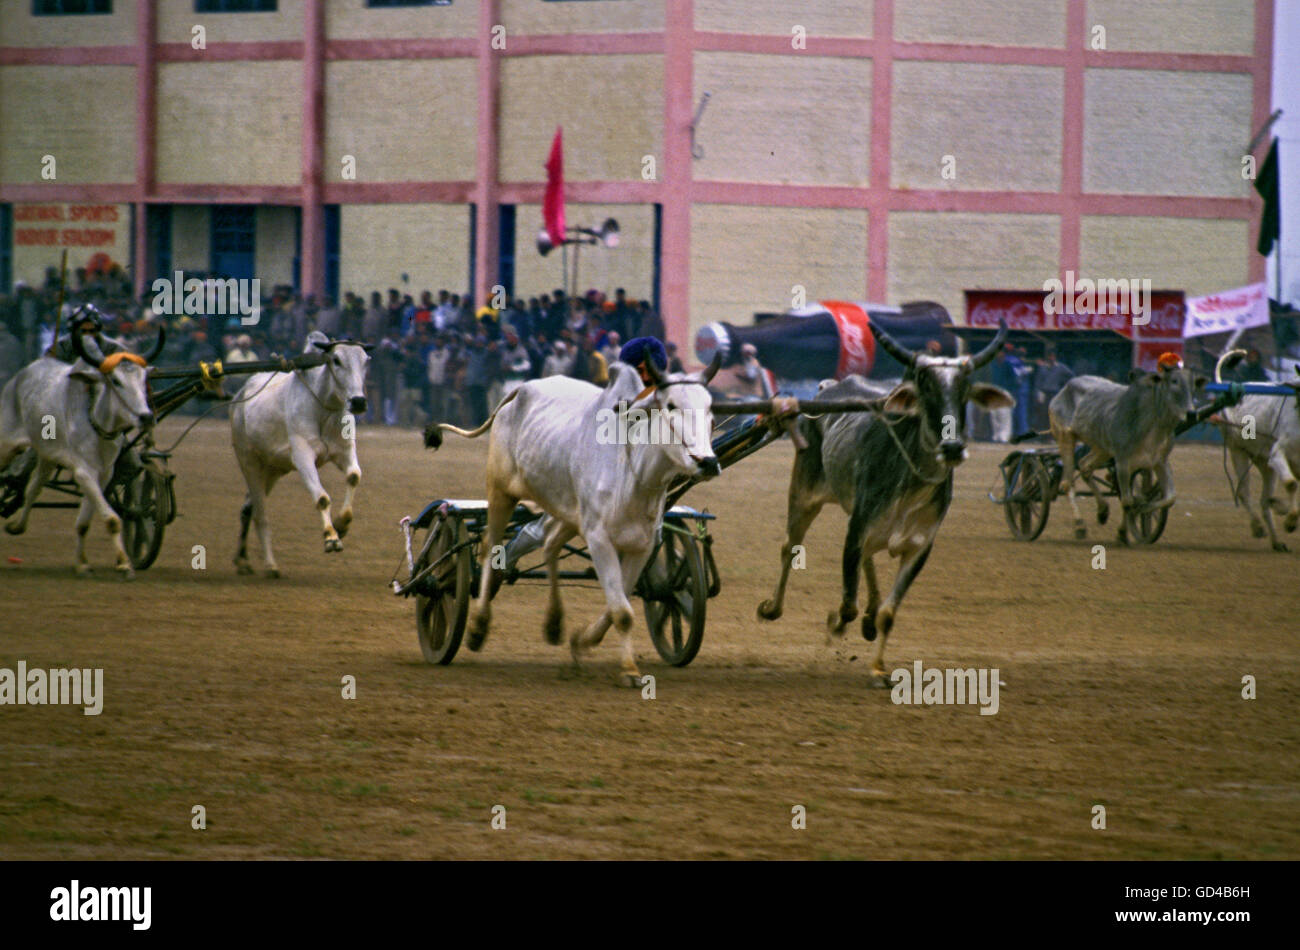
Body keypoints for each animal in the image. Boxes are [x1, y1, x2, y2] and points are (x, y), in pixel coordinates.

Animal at [0, 323, 163, 577]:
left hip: (46, 455)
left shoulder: (103, 475)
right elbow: (112, 520)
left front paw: (83, 563)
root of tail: (20, 376)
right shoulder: (84, 472)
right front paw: (124, 564)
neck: (97, 423)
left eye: (144, 379)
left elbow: (84, 523)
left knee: (34, 487)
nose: (146, 417)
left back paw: (17, 526)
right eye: (115, 380)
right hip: (7, 444)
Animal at [228, 330, 369, 577]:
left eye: (365, 361)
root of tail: (239, 397)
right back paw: (270, 565)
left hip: (272, 470)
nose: (358, 401)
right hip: (248, 462)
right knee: (260, 514)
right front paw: (331, 538)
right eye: (336, 360)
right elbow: (322, 498)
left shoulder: (345, 451)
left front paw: (342, 525)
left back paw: (243, 560)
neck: (324, 408)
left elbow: (354, 476)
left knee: (248, 508)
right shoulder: (303, 458)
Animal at [431, 356, 728, 686]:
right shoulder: (599, 540)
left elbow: (618, 605)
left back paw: (554, 623)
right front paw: (628, 669)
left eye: (710, 407)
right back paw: (478, 626)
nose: (707, 462)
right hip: (500, 492)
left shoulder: (642, 545)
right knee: (491, 549)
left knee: (549, 544)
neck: (631, 470)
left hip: (566, 512)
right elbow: (622, 612)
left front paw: (582, 641)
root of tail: (521, 389)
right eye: (671, 405)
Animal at [759, 319, 1008, 686]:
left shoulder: (919, 546)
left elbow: (889, 613)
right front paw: (836, 623)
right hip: (804, 495)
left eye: (965, 389)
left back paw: (869, 615)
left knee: (865, 561)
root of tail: (827, 388)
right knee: (789, 546)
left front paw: (878, 665)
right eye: (925, 387)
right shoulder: (856, 529)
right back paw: (772, 608)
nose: (952, 448)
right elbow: (846, 603)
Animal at [1050, 363, 1201, 543]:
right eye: (1174, 381)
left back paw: (1102, 511)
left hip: (1102, 448)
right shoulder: (1122, 462)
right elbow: (1127, 501)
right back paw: (1080, 525)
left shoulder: (1160, 461)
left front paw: (1142, 508)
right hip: (1065, 438)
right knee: (1067, 483)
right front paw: (1123, 530)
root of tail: (1063, 390)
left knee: (1085, 466)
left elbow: (1169, 498)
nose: (1191, 413)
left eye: (1193, 385)